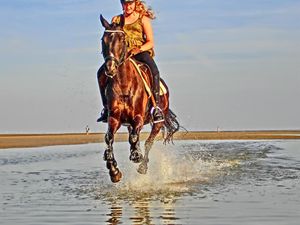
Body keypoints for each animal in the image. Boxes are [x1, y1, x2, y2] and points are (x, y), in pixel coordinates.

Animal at [98, 14, 179, 183]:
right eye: (103, 39)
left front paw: (136, 155)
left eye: (122, 39)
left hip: (158, 122)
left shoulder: (138, 117)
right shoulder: (114, 118)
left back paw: (143, 165)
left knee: (149, 142)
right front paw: (114, 171)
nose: (110, 68)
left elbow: (135, 138)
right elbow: (109, 138)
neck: (124, 83)